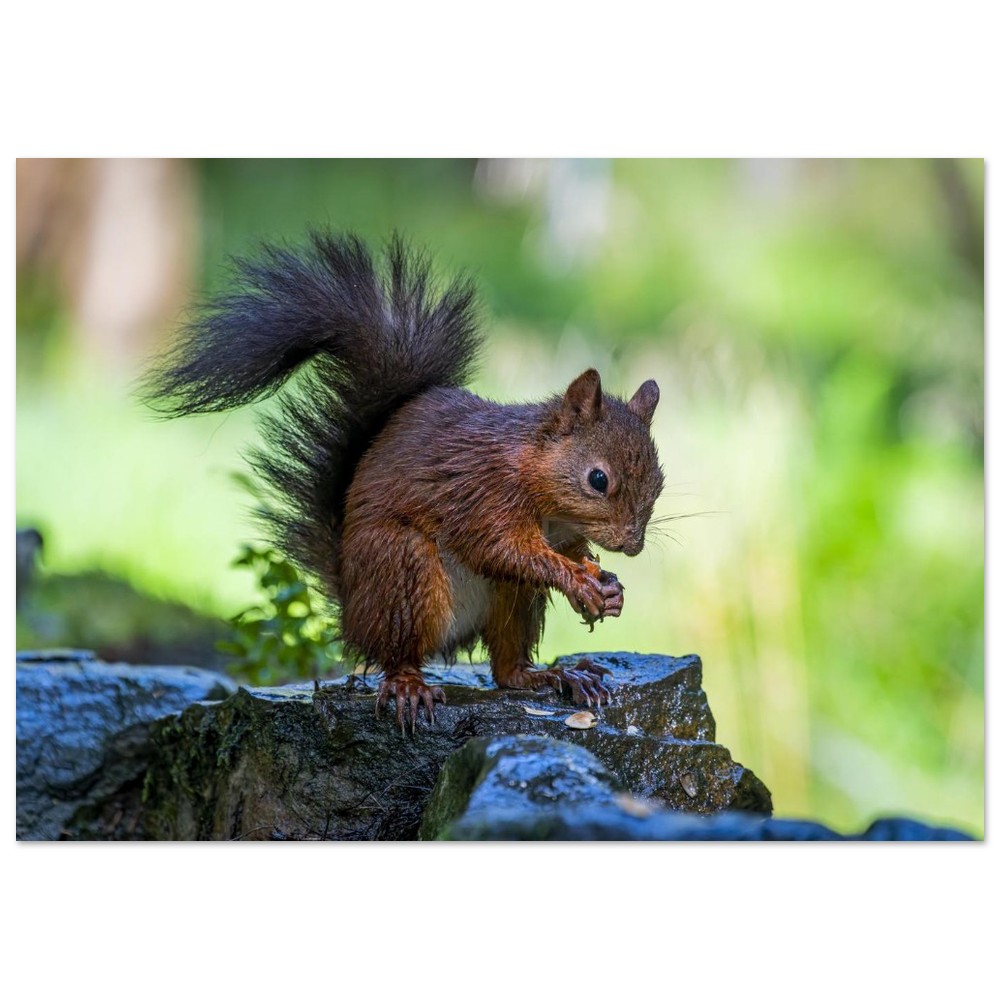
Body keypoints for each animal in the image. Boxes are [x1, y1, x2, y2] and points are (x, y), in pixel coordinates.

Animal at [143, 231, 664, 732]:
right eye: (598, 479)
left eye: (659, 482)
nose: (633, 545)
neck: (539, 484)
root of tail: (352, 610)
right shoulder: (482, 494)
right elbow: (502, 549)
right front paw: (578, 580)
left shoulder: (560, 530)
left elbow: (567, 552)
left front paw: (607, 585)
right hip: (401, 570)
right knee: (398, 653)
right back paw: (409, 685)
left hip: (511, 600)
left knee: (506, 668)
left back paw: (554, 675)